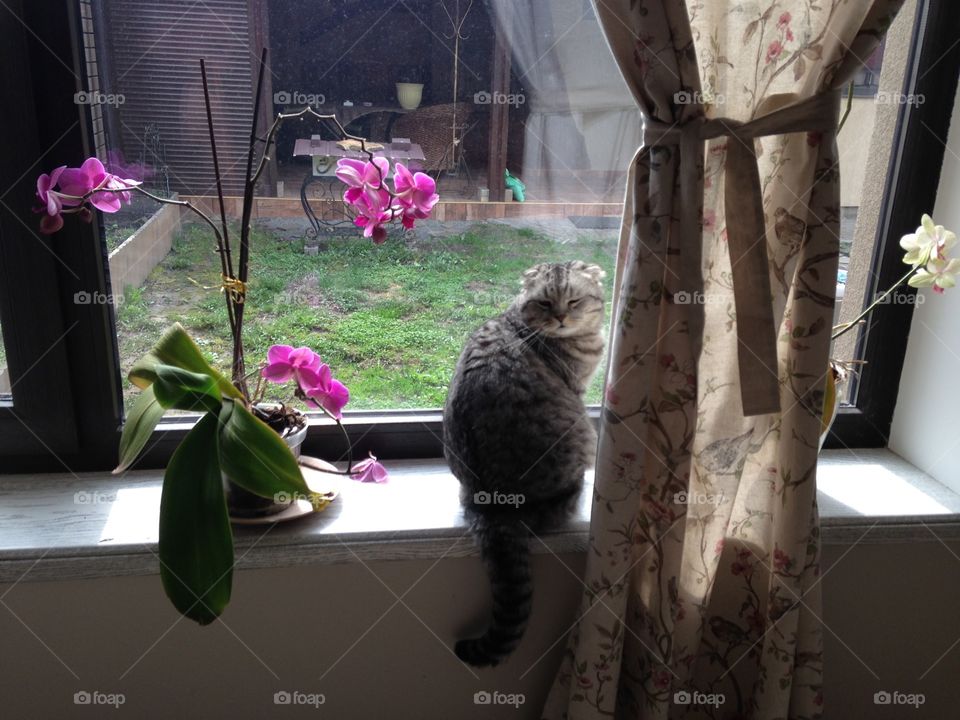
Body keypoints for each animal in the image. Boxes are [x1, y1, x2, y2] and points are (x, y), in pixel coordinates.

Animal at [444, 260, 608, 668]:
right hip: (580, 434)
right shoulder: (578, 389)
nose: (562, 318)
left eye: (574, 300)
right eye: (546, 302)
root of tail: (489, 503)